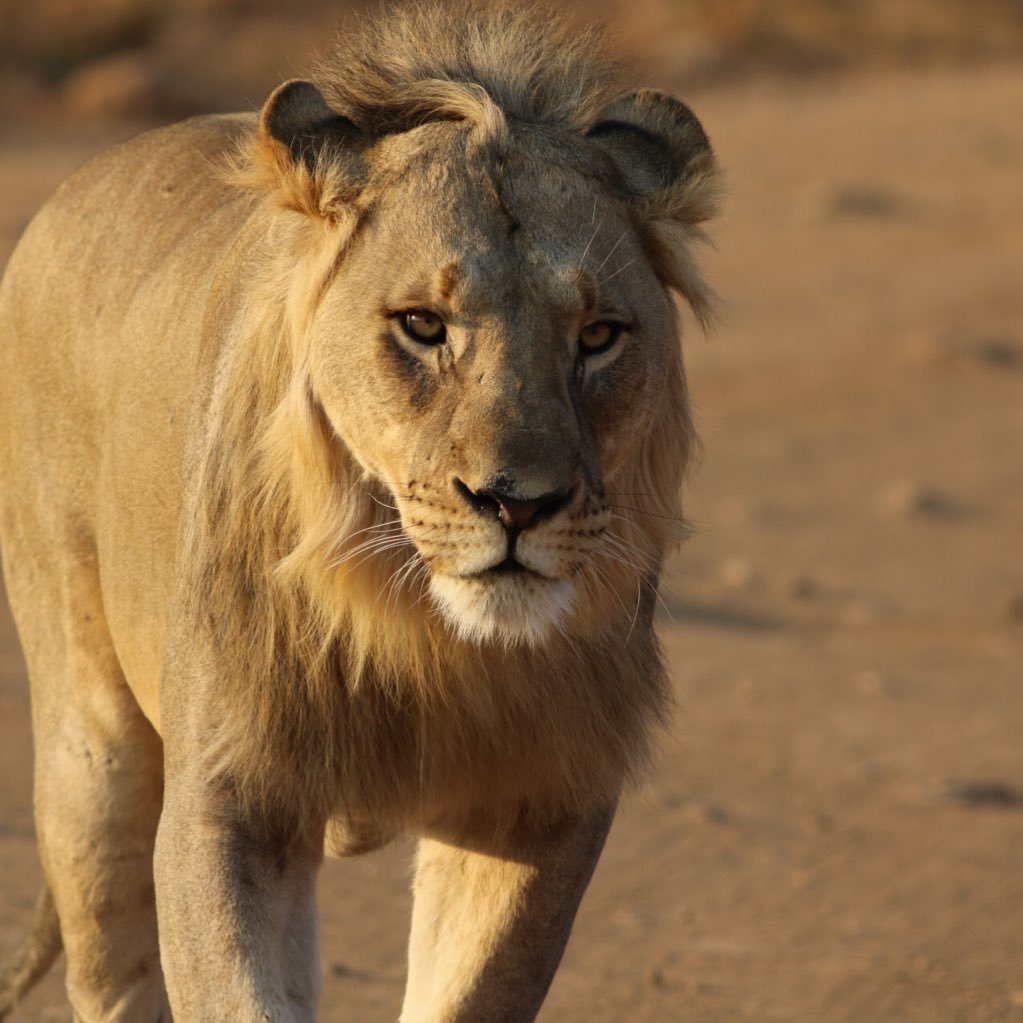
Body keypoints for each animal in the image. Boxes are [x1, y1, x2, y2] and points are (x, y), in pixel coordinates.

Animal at [0, 3, 720, 1018]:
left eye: (598, 336)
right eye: (422, 325)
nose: (518, 503)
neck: (421, 628)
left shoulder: (540, 796)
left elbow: (471, 991)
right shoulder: (226, 797)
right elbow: (233, 990)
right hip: (87, 746)